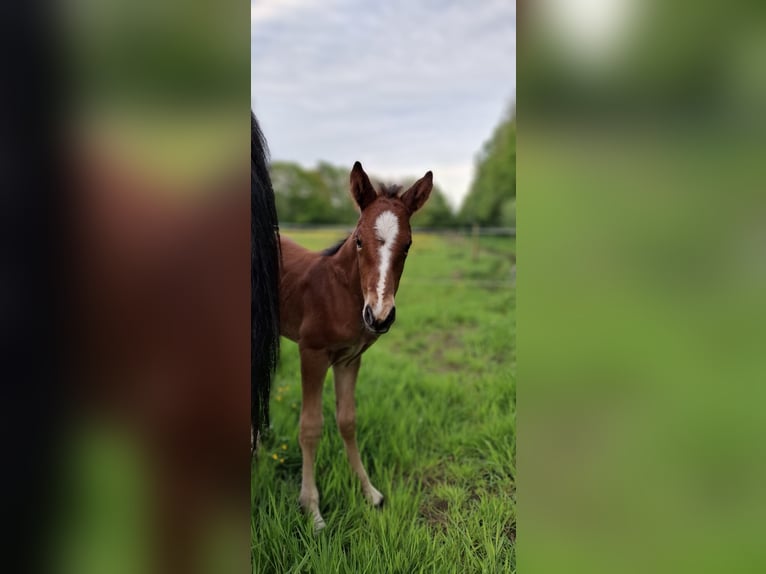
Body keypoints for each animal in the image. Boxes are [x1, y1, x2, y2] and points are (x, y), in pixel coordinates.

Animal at [280, 162, 438, 532]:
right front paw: (312, 510)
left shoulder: (349, 359)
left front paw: (369, 492)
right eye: (359, 241)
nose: (379, 316)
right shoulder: (312, 353)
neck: (338, 292)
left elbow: (348, 421)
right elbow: (310, 427)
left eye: (408, 245)